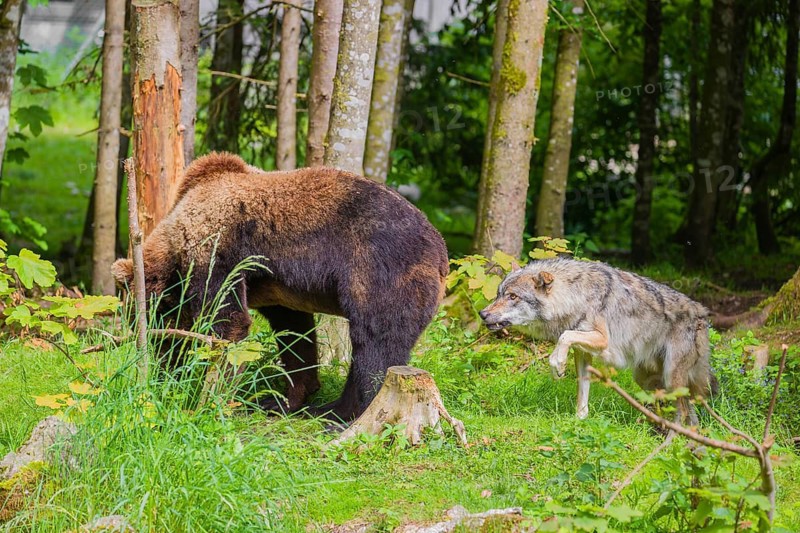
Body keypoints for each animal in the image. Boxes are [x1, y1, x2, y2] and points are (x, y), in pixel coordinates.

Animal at [111, 152, 449, 421]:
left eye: (147, 319)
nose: (163, 363)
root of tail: (441, 250)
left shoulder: (218, 253)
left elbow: (228, 322)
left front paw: (208, 398)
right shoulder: (277, 289)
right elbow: (295, 335)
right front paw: (286, 398)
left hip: (379, 268)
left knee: (376, 342)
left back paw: (351, 415)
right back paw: (328, 409)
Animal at [479, 257, 714, 424]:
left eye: (512, 297)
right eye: (499, 294)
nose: (482, 314)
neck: (576, 296)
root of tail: (703, 314)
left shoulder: (602, 341)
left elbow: (564, 336)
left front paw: (557, 365)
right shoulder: (583, 353)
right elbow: (582, 390)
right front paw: (580, 419)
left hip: (671, 379)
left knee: (684, 412)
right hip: (647, 380)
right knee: (687, 412)